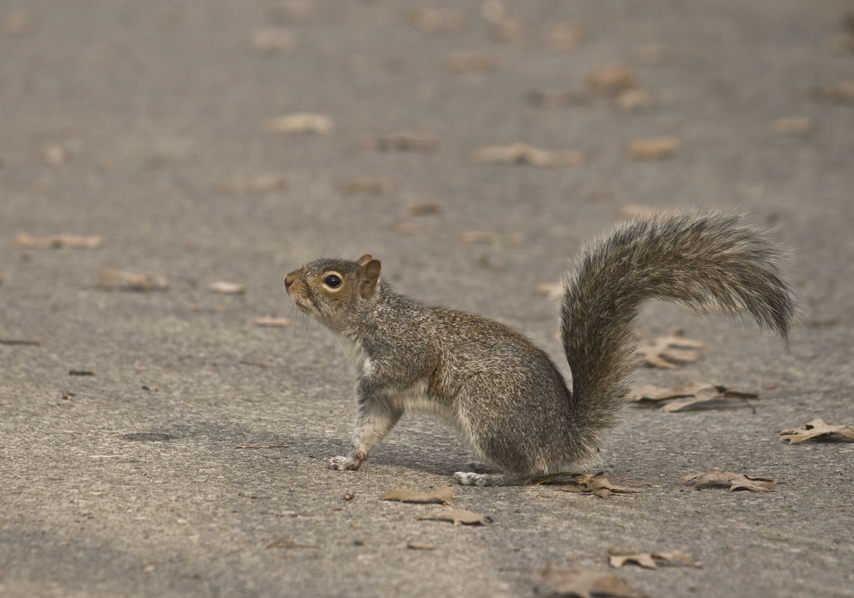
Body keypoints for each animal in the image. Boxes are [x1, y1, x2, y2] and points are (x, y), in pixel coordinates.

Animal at [284, 212, 795, 486]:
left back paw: (484, 477)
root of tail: (563, 436)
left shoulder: (406, 349)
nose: (287, 280)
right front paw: (349, 459)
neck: (370, 321)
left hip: (488, 409)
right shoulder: (385, 401)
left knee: (530, 471)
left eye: (333, 281)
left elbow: (403, 370)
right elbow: (371, 429)